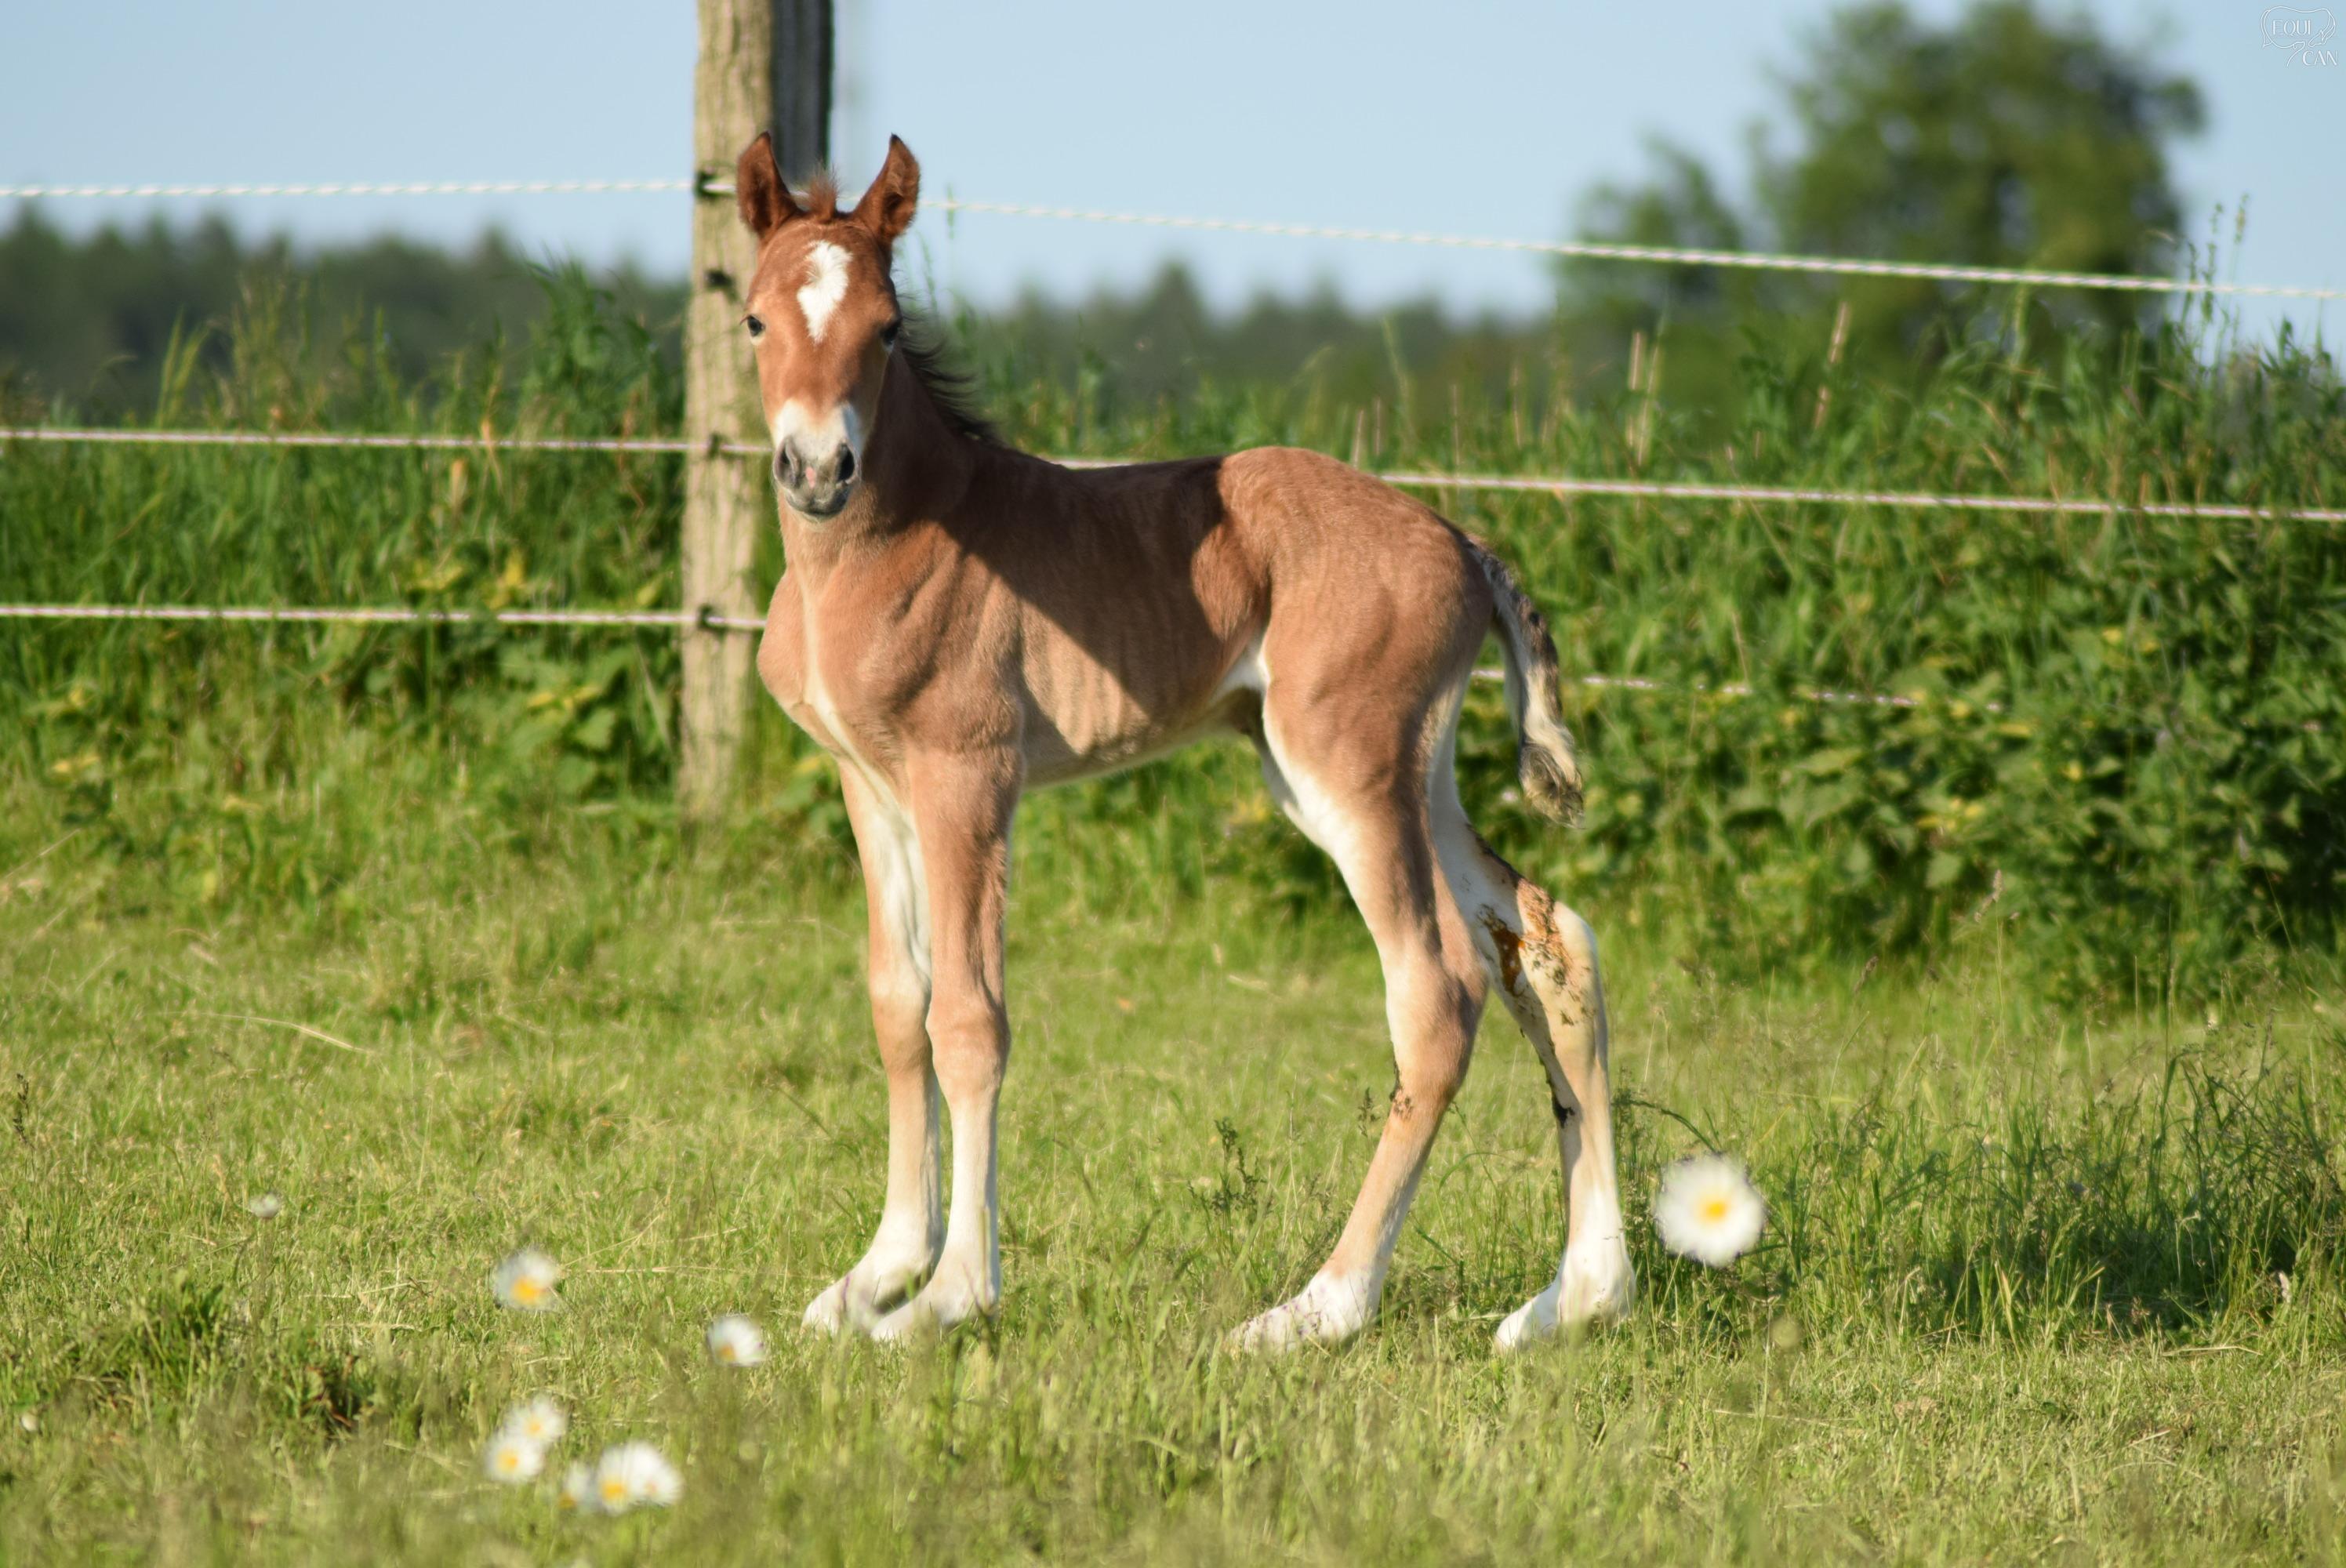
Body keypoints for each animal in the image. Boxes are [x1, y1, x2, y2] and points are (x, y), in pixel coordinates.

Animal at [733, 131, 1635, 1350]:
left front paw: (949, 1296)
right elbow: (897, 1005)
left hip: (1348, 770)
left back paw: (1317, 1309)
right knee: (1546, 945)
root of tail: (1459, 537)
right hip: (1402, 775)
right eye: (755, 319)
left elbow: (969, 1017)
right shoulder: (870, 785)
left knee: (1438, 990)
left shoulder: (969, 778)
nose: (818, 469)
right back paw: (1578, 1297)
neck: (883, 551)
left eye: (884, 325)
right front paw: (872, 1275)